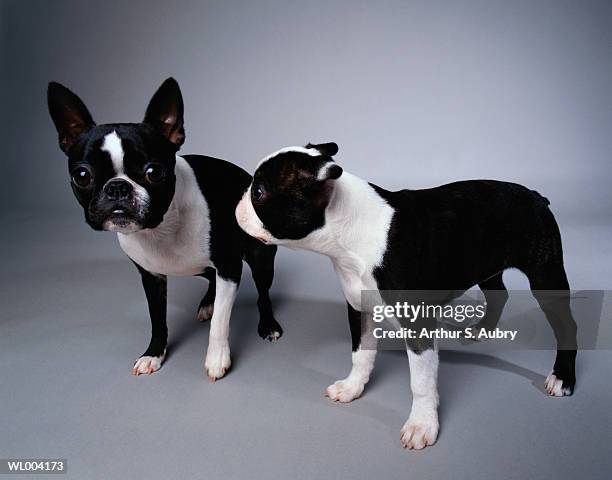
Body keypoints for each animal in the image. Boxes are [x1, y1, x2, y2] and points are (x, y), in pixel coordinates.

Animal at [46, 78, 284, 378]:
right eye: (81, 175)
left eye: (154, 172)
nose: (117, 187)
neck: (160, 227)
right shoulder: (151, 276)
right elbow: (157, 319)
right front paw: (153, 354)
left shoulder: (229, 268)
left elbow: (220, 321)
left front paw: (217, 359)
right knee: (209, 277)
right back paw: (208, 302)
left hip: (260, 259)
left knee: (262, 293)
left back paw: (268, 325)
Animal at [235, 142, 580, 450]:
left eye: (259, 192)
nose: (237, 202)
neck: (349, 232)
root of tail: (535, 195)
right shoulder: (359, 308)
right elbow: (361, 354)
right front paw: (353, 387)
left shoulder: (418, 324)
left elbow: (421, 382)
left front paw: (422, 424)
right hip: (487, 265)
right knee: (499, 294)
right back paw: (481, 330)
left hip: (545, 274)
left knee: (566, 325)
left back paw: (562, 377)